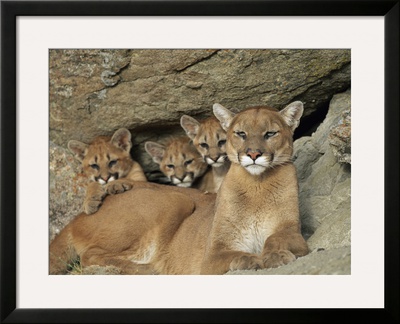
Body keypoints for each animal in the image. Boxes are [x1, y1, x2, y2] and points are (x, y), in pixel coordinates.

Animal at [49, 101, 306, 274]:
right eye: (240, 134)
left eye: (270, 133)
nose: (253, 154)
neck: (257, 186)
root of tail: (76, 217)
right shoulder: (213, 255)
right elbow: (234, 255)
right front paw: (253, 259)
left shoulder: (293, 232)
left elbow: (276, 240)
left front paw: (275, 254)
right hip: (175, 200)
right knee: (90, 256)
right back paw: (150, 269)